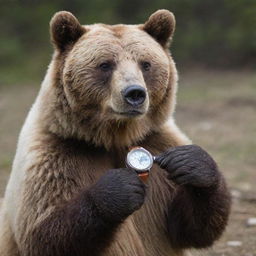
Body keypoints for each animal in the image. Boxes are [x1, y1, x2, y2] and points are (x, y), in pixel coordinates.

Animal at [0, 9, 231, 256]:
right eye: (105, 64)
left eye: (145, 64)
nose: (135, 93)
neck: (115, 137)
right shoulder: (56, 155)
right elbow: (43, 231)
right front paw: (118, 190)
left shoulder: (157, 143)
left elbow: (190, 227)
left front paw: (191, 163)